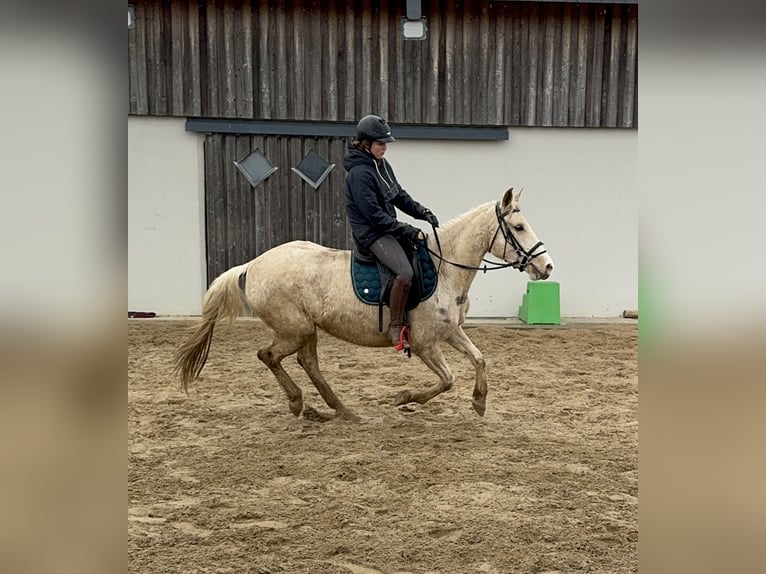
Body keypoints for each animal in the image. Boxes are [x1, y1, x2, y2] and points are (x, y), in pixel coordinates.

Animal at [174, 189, 556, 418]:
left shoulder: (450, 332)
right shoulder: (425, 344)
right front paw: (405, 397)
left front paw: (479, 401)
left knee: (307, 363)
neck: (444, 269)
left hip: (306, 330)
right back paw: (300, 402)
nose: (547, 266)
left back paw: (339, 409)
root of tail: (252, 265)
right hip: (294, 329)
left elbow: (480, 359)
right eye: (518, 227)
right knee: (269, 356)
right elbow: (447, 379)